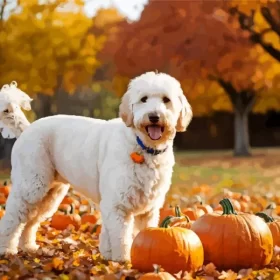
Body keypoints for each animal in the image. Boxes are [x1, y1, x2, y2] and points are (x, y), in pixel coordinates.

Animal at [0, 71, 191, 260]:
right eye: (143, 99)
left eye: (166, 99)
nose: (154, 116)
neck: (143, 147)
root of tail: (27, 129)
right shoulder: (118, 204)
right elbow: (121, 238)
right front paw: (123, 261)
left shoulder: (148, 210)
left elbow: (139, 233)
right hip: (32, 186)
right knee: (12, 218)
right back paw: (6, 249)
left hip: (49, 194)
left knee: (30, 221)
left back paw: (28, 247)